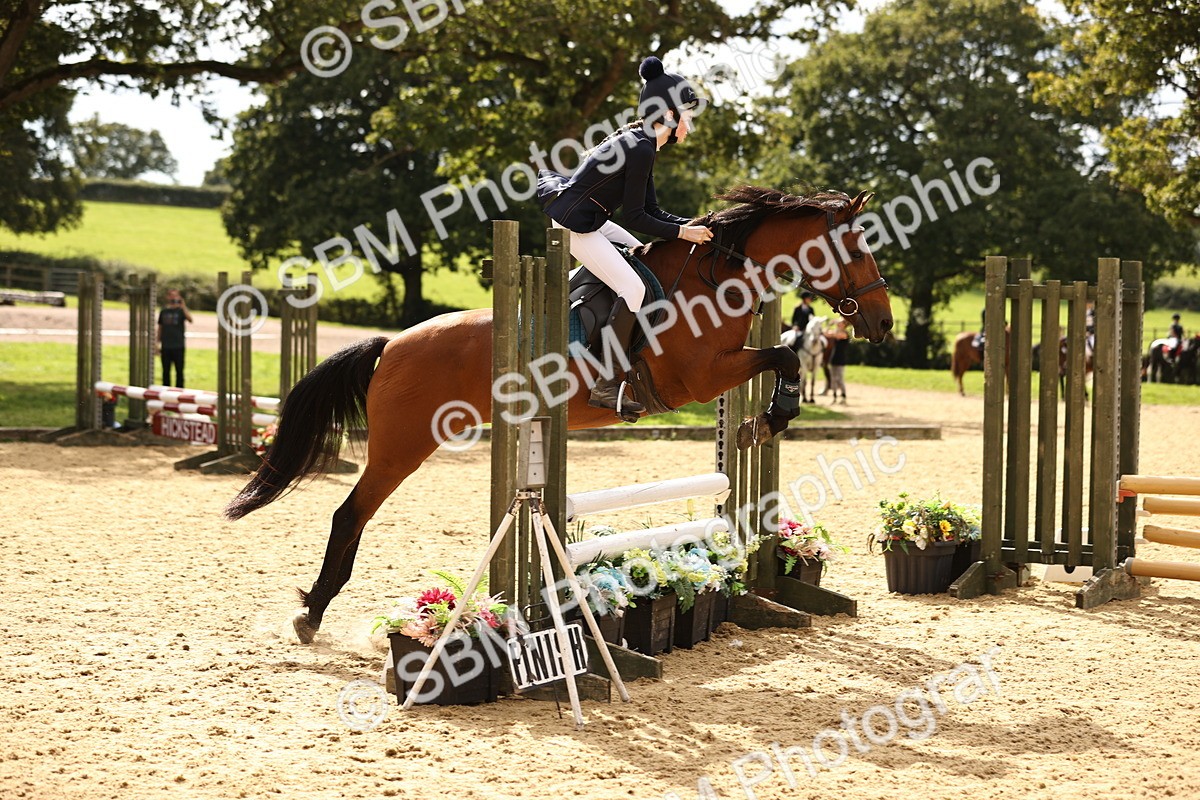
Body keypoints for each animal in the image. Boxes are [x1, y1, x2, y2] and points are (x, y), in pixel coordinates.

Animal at [224, 185, 894, 643]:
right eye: (857, 247)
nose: (884, 324)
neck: (716, 277)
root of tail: (390, 345)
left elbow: (780, 357)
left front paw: (766, 419)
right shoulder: (699, 377)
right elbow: (783, 353)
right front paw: (775, 416)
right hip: (405, 446)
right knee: (349, 515)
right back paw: (311, 613)